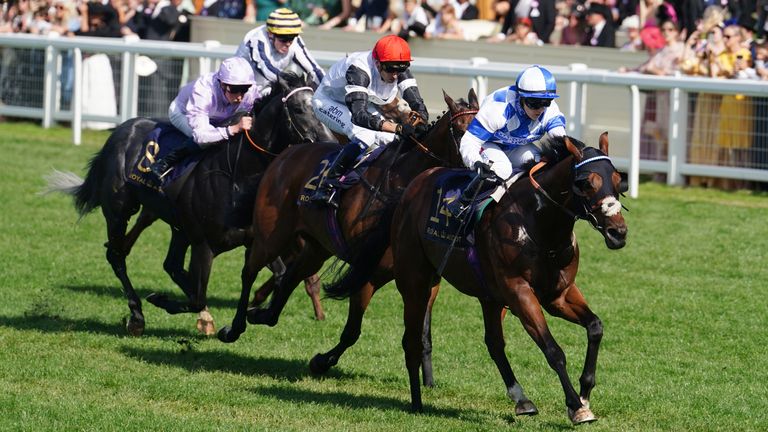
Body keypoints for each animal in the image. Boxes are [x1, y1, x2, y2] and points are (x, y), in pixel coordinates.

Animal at [44, 71, 332, 334]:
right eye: (298, 109)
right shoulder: (204, 245)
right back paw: (137, 315)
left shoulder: (254, 240)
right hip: (119, 211)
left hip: (177, 226)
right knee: (117, 255)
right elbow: (197, 297)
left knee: (170, 265)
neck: (237, 176)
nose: (329, 144)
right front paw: (162, 300)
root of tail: (119, 133)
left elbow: (280, 276)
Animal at [218, 89, 480, 360]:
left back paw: (262, 314)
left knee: (291, 276)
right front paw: (321, 362)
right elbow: (352, 331)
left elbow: (421, 336)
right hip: (272, 236)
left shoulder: (426, 280)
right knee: (249, 271)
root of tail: (287, 153)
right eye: (462, 130)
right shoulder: (367, 272)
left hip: (317, 247)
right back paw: (234, 327)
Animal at [388, 133, 628, 424]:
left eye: (618, 180)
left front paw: (585, 393)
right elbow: (553, 351)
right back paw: (416, 402)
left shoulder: (559, 294)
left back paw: (522, 400)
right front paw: (575, 406)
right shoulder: (519, 292)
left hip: (488, 296)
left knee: (493, 343)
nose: (618, 233)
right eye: (586, 183)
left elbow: (595, 327)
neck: (539, 223)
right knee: (411, 340)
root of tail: (416, 183)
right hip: (415, 282)